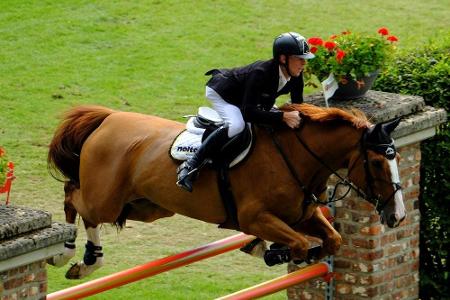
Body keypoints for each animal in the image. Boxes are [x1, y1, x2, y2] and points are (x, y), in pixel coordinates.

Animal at [47, 103, 406, 278]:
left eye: (397, 158)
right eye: (377, 163)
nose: (398, 217)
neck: (295, 156)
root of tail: (108, 119)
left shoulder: (302, 215)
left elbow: (331, 239)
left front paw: (271, 250)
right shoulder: (254, 217)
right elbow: (301, 243)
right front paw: (273, 251)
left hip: (148, 206)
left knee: (82, 201)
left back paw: (84, 260)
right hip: (106, 199)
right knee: (74, 197)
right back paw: (75, 257)